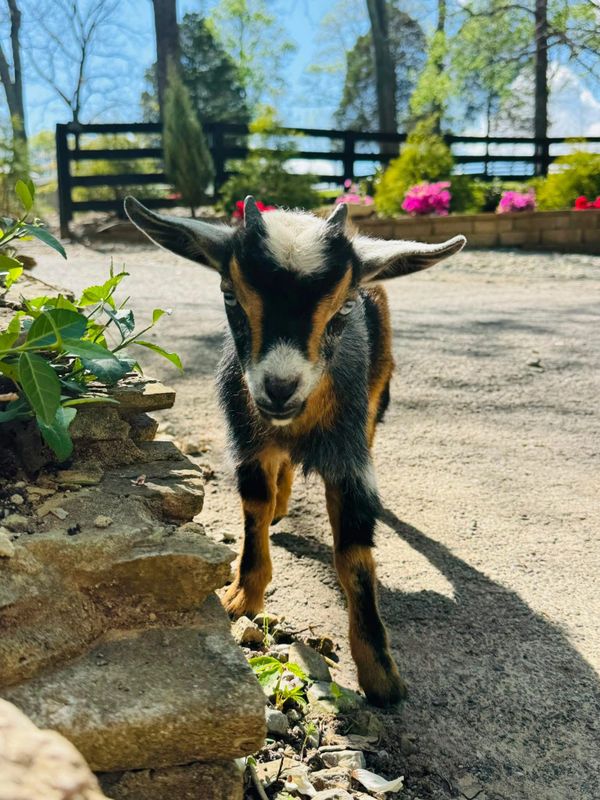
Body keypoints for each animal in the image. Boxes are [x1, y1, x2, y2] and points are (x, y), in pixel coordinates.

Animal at [125, 195, 466, 707]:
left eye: (345, 307)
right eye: (229, 293)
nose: (279, 388)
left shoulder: (349, 459)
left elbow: (354, 553)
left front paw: (382, 677)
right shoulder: (248, 443)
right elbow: (254, 508)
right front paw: (241, 598)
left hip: (376, 391)